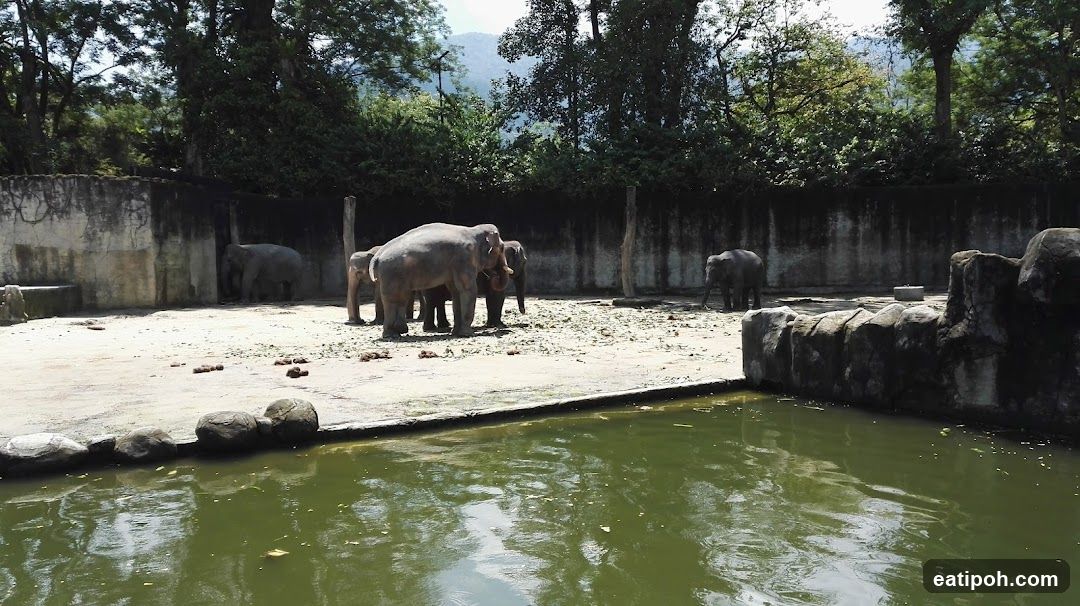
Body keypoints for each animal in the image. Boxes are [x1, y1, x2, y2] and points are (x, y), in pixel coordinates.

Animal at [369, 223, 512, 338]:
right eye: (502, 248)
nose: (494, 275)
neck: (474, 230)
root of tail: (377, 256)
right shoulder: (464, 258)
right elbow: (468, 289)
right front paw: (467, 334)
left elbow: (456, 292)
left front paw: (456, 333)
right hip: (392, 273)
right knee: (395, 298)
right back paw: (394, 333)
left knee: (396, 299)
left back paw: (394, 333)